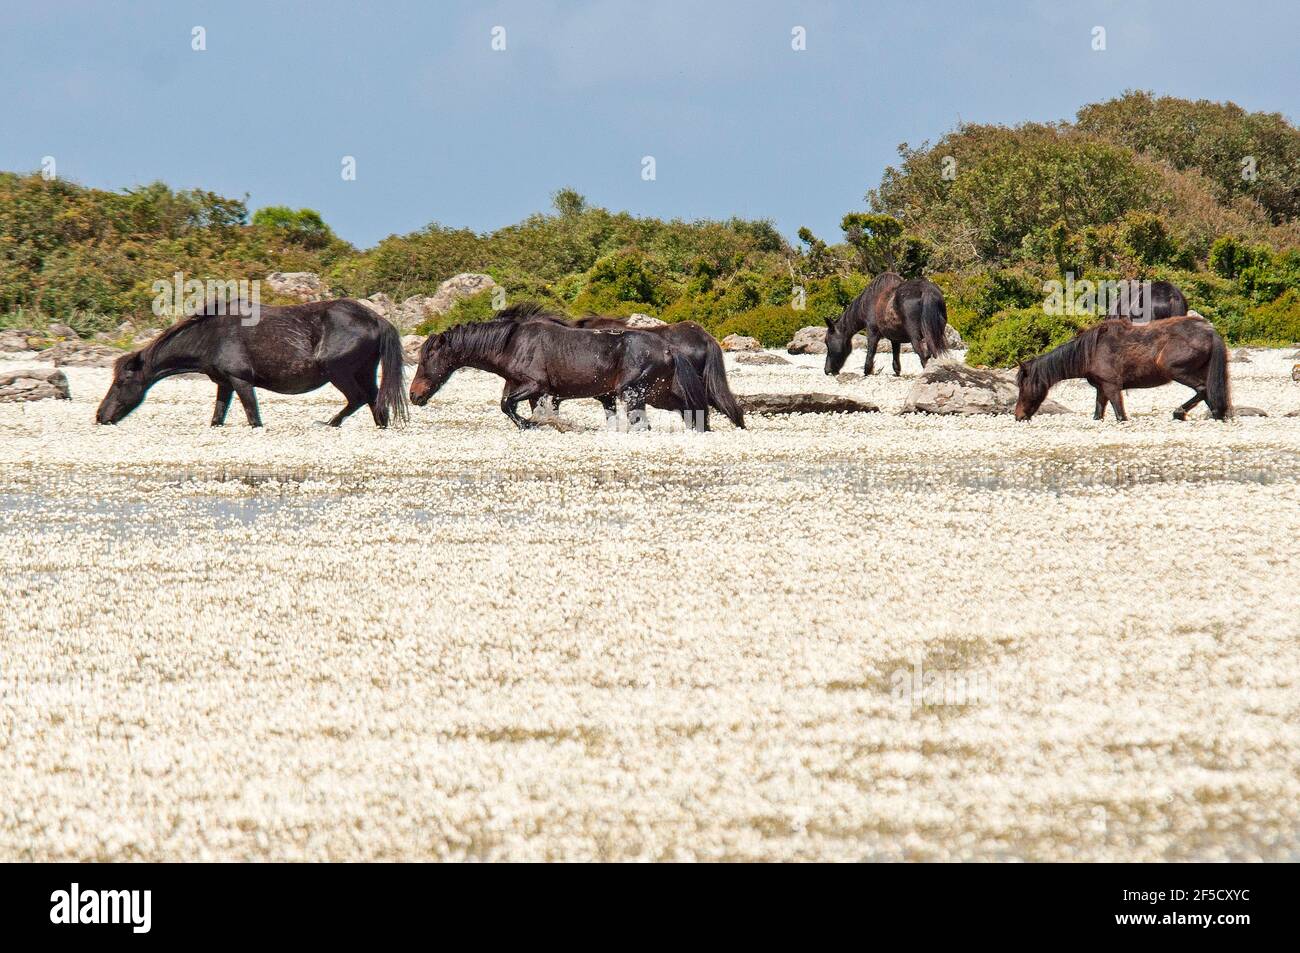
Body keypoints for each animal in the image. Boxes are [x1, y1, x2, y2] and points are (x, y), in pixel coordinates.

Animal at [96, 299, 408, 427]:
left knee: (358, 399)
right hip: (364, 373)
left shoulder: (241, 381)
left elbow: (253, 418)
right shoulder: (224, 384)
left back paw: (329, 423)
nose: (100, 416)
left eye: (121, 381)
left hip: (339, 373)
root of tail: (376, 319)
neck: (211, 335)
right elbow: (217, 419)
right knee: (375, 404)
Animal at [408, 317, 710, 431]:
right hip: (659, 394)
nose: (413, 395)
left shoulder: (536, 386)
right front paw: (538, 424)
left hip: (635, 394)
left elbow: (509, 406)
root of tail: (670, 349)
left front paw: (532, 425)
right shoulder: (527, 390)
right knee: (691, 410)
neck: (512, 344)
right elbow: (508, 406)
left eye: (426, 359)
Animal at [1014, 315, 1230, 422]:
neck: (1092, 352)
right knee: (1209, 394)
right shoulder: (1101, 389)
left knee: (1202, 389)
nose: (1018, 416)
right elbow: (1098, 414)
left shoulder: (1111, 387)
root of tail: (1210, 332)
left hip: (1177, 370)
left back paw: (1178, 413)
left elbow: (1120, 415)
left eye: (1022, 386)